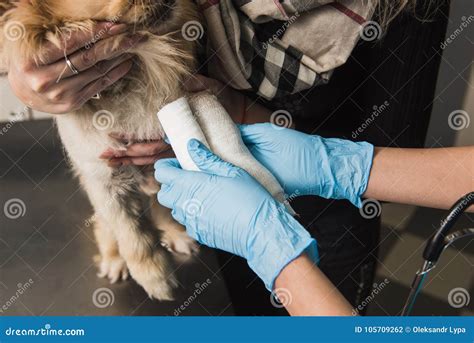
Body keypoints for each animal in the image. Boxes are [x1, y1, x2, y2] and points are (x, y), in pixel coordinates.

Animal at [0, 0, 202, 300]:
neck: (141, 62)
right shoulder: (104, 184)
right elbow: (131, 234)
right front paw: (154, 277)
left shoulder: (163, 158)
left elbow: (164, 207)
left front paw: (175, 232)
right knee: (106, 231)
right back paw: (114, 261)